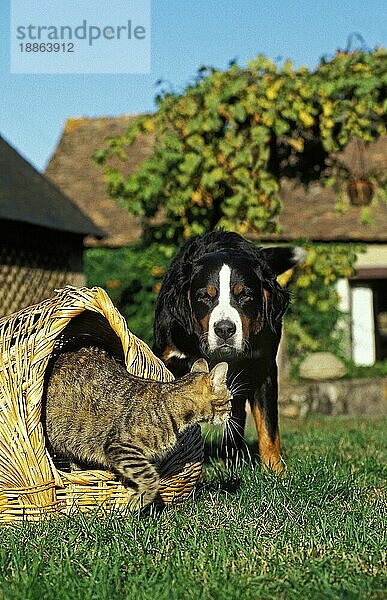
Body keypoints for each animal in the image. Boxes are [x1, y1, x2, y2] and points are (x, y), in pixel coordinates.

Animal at [153, 232, 308, 472]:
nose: (225, 329)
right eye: (205, 296)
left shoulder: (263, 370)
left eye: (245, 295)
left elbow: (269, 429)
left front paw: (275, 473)